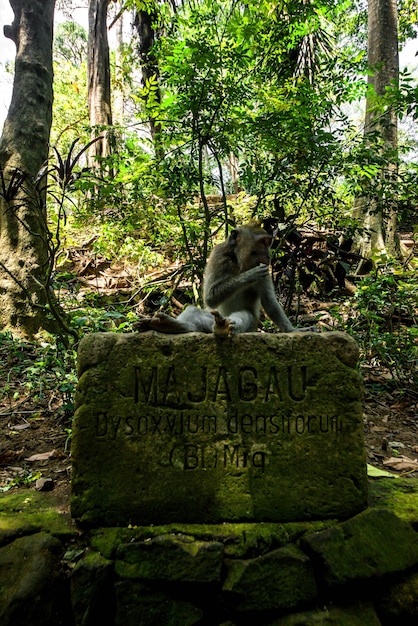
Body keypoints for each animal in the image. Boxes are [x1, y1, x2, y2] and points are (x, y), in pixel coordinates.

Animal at [136, 222, 316, 334]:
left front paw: (293, 330)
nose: (269, 254)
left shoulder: (265, 269)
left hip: (250, 326)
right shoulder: (218, 255)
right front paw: (250, 275)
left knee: (244, 316)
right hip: (211, 319)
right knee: (194, 311)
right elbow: (210, 297)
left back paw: (223, 327)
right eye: (263, 243)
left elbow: (270, 303)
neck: (238, 261)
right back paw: (173, 325)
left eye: (268, 243)